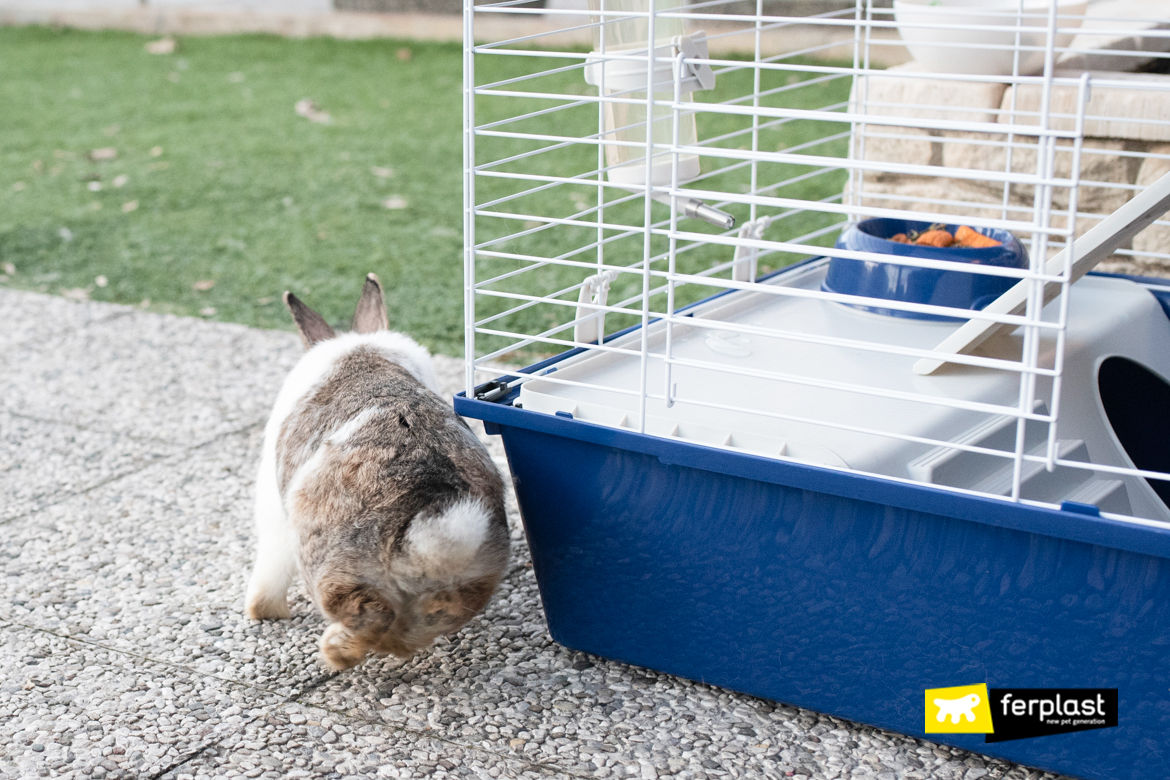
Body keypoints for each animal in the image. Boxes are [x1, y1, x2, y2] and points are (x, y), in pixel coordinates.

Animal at [244, 274, 510, 673]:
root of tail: (430, 536)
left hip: (333, 564)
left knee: (369, 616)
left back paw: (334, 650)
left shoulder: (274, 514)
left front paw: (262, 611)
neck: (363, 353)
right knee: (431, 618)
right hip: (467, 581)